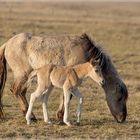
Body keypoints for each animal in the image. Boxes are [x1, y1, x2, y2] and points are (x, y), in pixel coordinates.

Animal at [0, 32, 128, 122]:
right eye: (120, 97)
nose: (122, 118)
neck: (85, 51)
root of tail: (7, 44)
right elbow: (67, 97)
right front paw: (61, 116)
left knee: (21, 92)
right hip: (23, 75)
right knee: (16, 91)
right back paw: (30, 115)